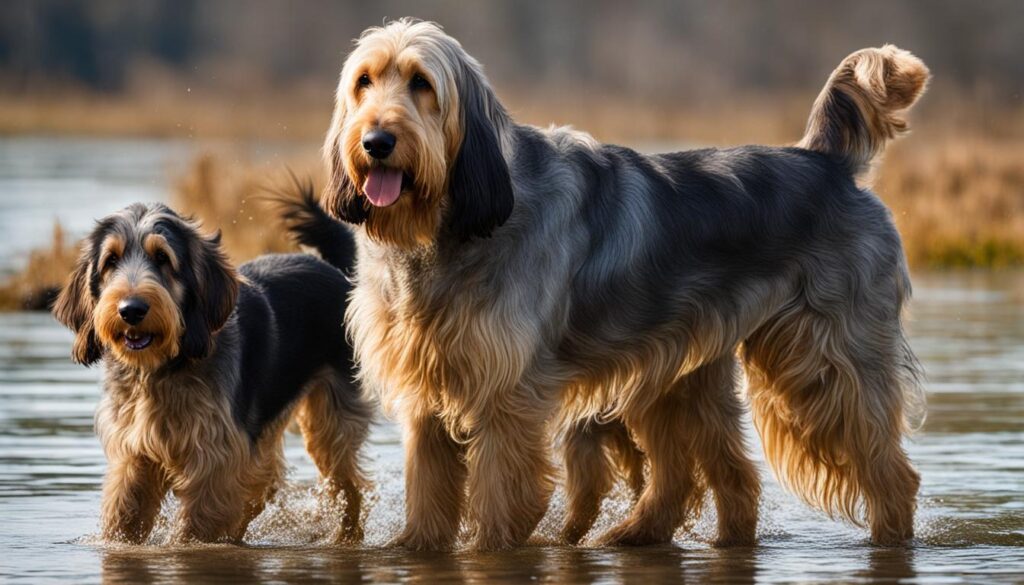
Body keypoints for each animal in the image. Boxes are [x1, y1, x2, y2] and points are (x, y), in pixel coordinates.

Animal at [52, 191, 372, 545]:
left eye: (162, 258)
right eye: (111, 260)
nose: (130, 310)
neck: (160, 368)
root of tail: (335, 272)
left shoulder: (215, 459)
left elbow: (198, 528)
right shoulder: (133, 455)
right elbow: (124, 517)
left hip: (331, 424)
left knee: (349, 486)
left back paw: (346, 537)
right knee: (263, 486)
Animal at [325, 18, 929, 549]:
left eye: (422, 84)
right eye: (363, 82)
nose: (375, 141)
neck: (447, 226)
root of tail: (828, 164)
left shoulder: (506, 397)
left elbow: (498, 497)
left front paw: (489, 549)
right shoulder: (426, 392)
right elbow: (428, 493)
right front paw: (415, 548)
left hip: (825, 367)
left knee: (892, 475)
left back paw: (888, 540)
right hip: (680, 373)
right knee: (722, 477)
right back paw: (643, 534)